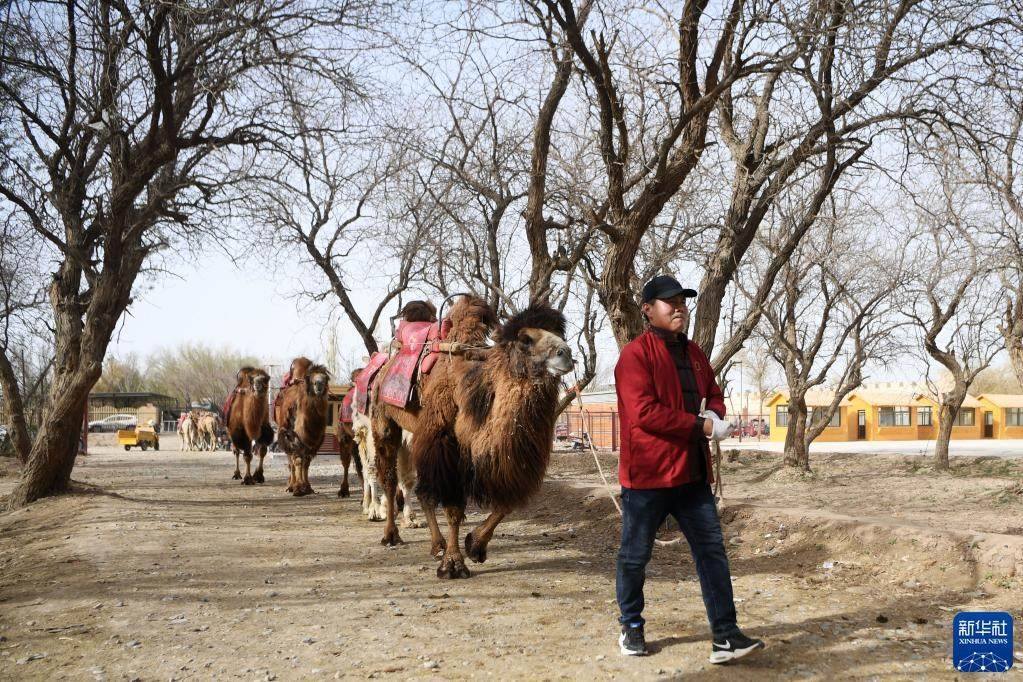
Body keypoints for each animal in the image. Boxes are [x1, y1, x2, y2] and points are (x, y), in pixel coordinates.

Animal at [274, 361, 331, 496]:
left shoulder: (315, 439)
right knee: (291, 461)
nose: (319, 384)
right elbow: (298, 460)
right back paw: (290, 485)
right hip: (285, 435)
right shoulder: (292, 436)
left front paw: (308, 487)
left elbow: (307, 462)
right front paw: (298, 488)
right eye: (310, 378)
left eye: (326, 378)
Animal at [371, 297, 573, 579]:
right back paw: (391, 536)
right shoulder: (444, 442)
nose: (566, 354)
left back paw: (437, 544)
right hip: (384, 419)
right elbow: (454, 507)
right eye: (525, 339)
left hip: (416, 435)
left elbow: (506, 502)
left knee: (422, 490)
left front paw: (475, 545)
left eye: (559, 334)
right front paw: (453, 564)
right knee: (390, 479)